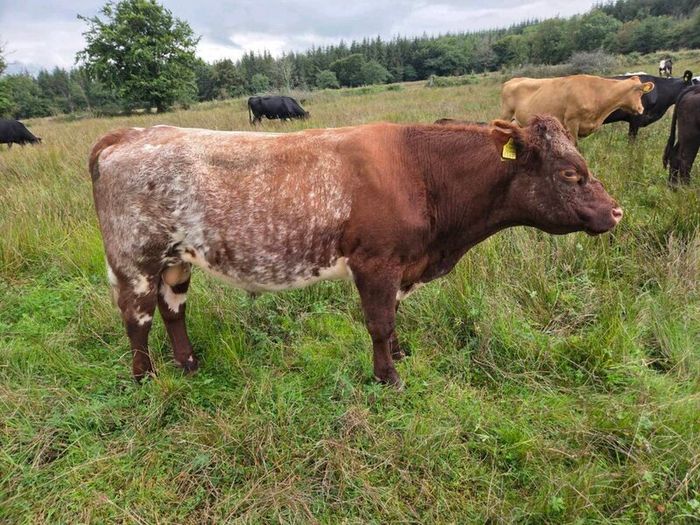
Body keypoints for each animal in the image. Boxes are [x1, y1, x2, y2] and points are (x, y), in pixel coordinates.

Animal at [89, 117, 622, 387]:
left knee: (173, 309)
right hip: (135, 258)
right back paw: (146, 377)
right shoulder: (376, 262)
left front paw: (401, 355)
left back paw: (188, 363)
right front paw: (389, 376)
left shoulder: (403, 264)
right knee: (137, 318)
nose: (616, 212)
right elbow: (379, 322)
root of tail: (132, 134)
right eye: (571, 173)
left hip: (177, 259)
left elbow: (395, 318)